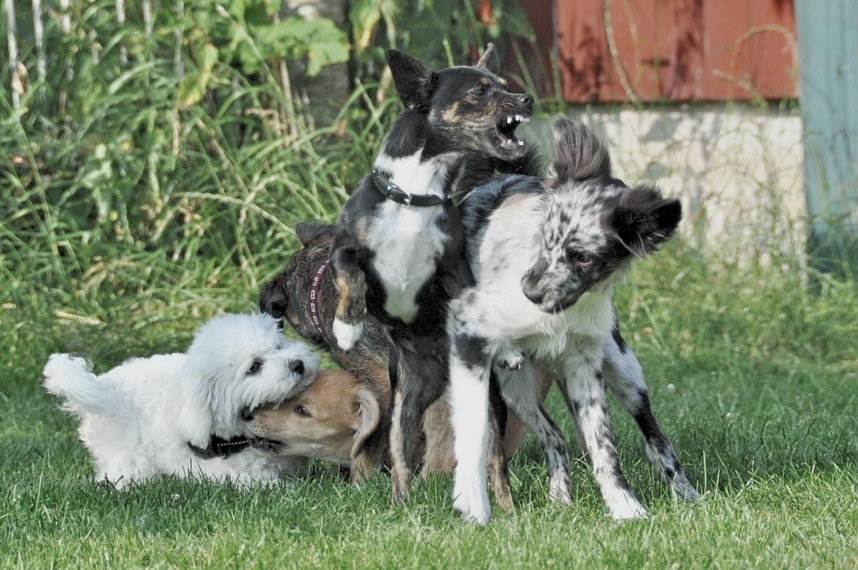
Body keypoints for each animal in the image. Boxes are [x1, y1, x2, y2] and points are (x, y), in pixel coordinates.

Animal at [41, 310, 320, 488]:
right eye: (253, 367)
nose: (298, 364)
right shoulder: (237, 476)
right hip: (129, 460)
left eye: (278, 346)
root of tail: (103, 387)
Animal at [330, 46, 536, 504]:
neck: (416, 196)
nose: (527, 98)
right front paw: (347, 327)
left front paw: (508, 349)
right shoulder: (343, 249)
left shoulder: (456, 267)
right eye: (479, 91)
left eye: (505, 84)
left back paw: (508, 509)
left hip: (488, 408)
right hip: (402, 408)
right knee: (400, 462)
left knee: (495, 464)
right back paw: (401, 505)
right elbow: (349, 276)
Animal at [444, 117, 700, 520]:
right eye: (544, 239)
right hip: (516, 390)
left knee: (654, 437)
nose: (528, 291)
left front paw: (625, 508)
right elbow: (476, 431)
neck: (564, 308)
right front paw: (475, 505)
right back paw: (559, 496)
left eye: (582, 257)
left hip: (625, 370)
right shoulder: (468, 325)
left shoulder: (584, 365)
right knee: (554, 436)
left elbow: (604, 448)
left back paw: (685, 493)